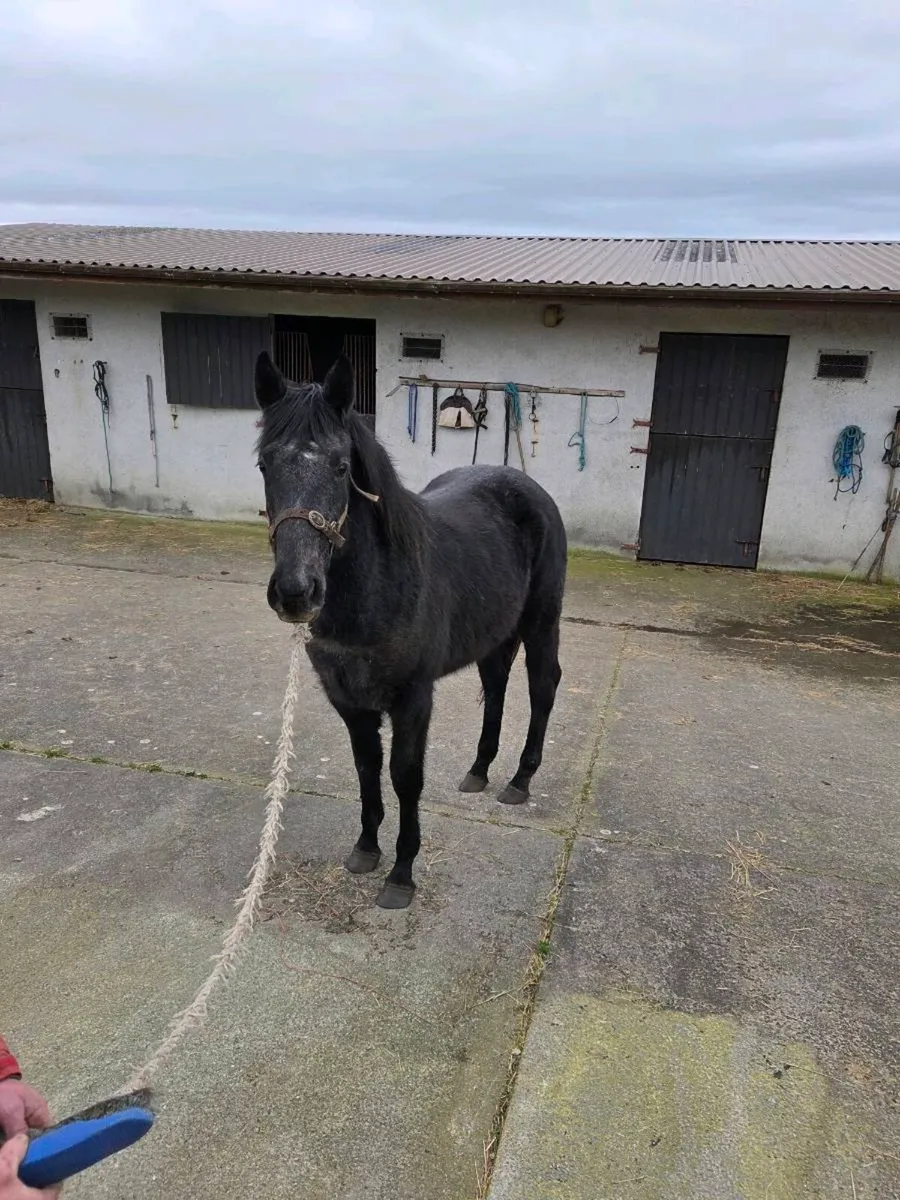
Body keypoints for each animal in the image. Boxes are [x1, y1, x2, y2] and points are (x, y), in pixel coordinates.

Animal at [254, 351, 566, 909]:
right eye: (265, 464)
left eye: (340, 466)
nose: (296, 591)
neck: (377, 589)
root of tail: (530, 489)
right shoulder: (349, 701)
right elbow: (366, 768)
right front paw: (365, 849)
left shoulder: (413, 699)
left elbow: (405, 777)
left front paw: (401, 874)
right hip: (493, 635)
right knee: (497, 687)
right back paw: (479, 772)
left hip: (541, 621)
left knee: (541, 687)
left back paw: (519, 780)